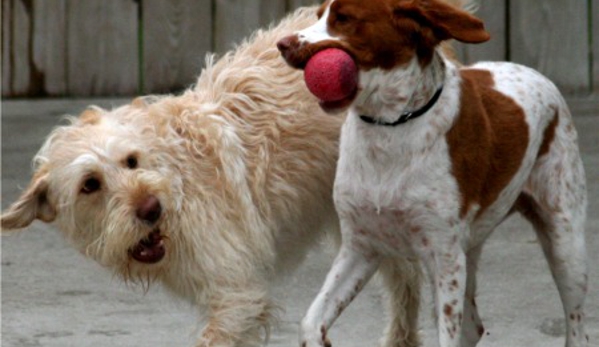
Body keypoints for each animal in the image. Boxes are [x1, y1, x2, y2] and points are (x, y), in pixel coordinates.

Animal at [278, 0, 588, 347]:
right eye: (319, 15)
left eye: (343, 19)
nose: (282, 44)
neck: (390, 126)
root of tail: (537, 74)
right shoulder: (361, 248)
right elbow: (310, 322)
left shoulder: (444, 257)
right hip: (471, 246)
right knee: (473, 326)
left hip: (565, 243)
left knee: (577, 325)